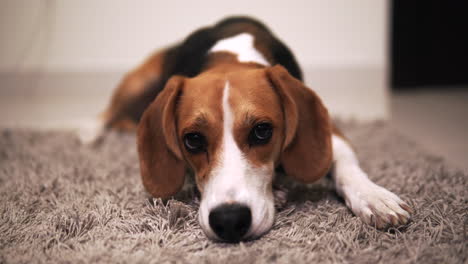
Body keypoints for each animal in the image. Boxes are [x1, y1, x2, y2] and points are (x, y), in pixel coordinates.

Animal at [88, 16, 414, 242]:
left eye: (261, 131)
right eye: (192, 140)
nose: (230, 221)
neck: (231, 57)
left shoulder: (329, 131)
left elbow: (345, 164)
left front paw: (374, 197)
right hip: (139, 80)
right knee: (107, 112)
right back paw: (89, 132)